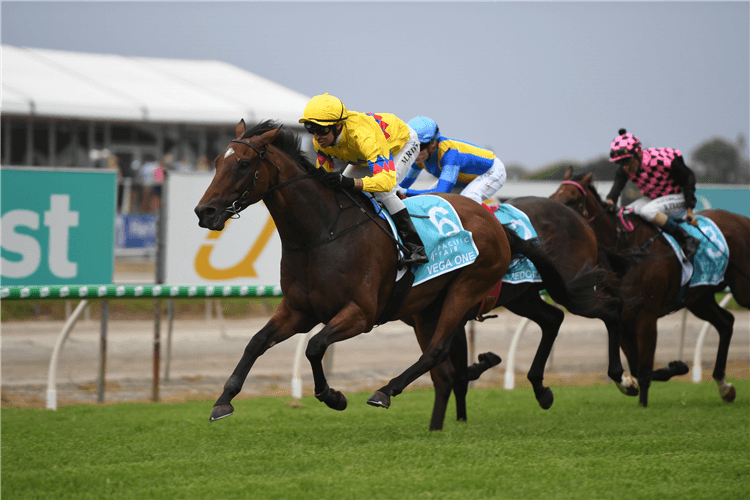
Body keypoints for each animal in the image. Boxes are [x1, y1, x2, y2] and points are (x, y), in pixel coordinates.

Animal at [195, 120, 592, 422]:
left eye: (243, 164)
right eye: (215, 161)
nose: (205, 212)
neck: (320, 234)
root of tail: (497, 225)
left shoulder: (361, 313)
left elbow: (315, 347)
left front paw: (333, 396)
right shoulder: (298, 310)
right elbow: (256, 342)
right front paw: (223, 400)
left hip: (467, 289)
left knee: (437, 352)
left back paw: (386, 390)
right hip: (435, 306)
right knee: (523, 331)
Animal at [418, 197, 640, 432]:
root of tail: (582, 222)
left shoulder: (450, 313)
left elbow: (453, 370)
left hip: (566, 288)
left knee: (611, 308)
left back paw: (621, 378)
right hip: (523, 297)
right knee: (553, 318)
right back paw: (540, 388)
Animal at [552, 168, 750, 406]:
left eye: (572, 200)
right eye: (553, 197)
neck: (626, 254)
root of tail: (743, 219)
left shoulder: (647, 316)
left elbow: (645, 370)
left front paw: (644, 404)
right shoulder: (624, 318)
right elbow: (637, 369)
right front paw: (668, 370)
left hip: (742, 288)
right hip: (700, 297)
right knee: (726, 323)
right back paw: (724, 386)